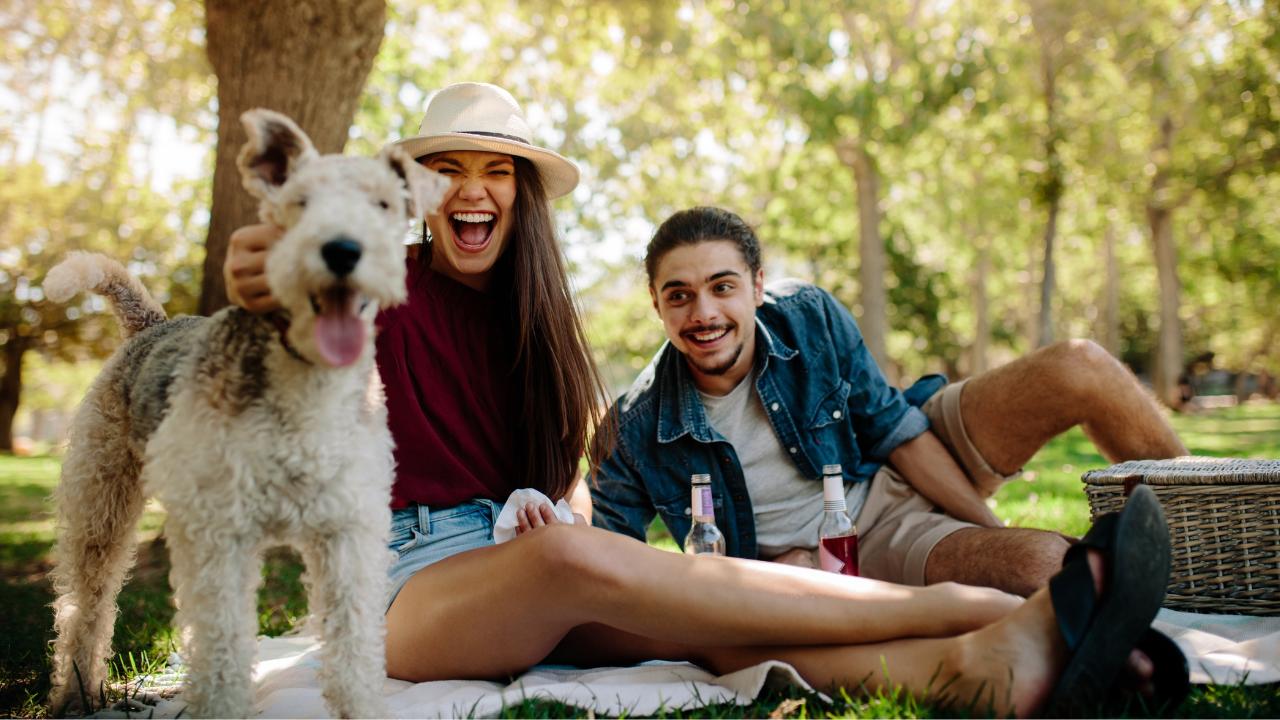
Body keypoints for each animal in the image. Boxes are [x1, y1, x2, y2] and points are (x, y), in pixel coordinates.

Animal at [42, 107, 450, 717]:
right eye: (300, 202)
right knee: (84, 604)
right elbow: (223, 654)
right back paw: (76, 693)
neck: (305, 388)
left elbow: (354, 649)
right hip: (101, 500)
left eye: (382, 203)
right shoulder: (220, 536)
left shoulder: (347, 532)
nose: (342, 251)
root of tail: (152, 323)